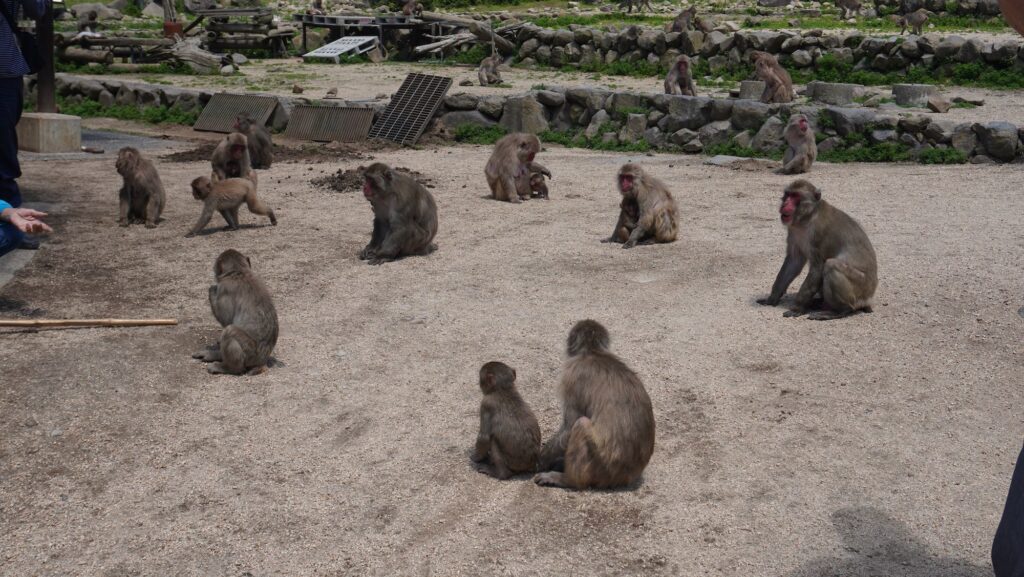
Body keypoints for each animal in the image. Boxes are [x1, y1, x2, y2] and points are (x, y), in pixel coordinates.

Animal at [536, 319, 655, 491]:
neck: (593, 352)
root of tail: (626, 477)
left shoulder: (571, 376)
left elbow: (569, 425)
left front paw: (541, 460)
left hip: (601, 467)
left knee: (580, 424)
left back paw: (568, 480)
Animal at [757, 180, 876, 319]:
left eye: (795, 196)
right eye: (788, 195)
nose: (785, 204)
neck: (807, 218)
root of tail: (869, 298)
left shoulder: (820, 233)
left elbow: (817, 268)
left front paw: (797, 308)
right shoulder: (792, 229)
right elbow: (794, 262)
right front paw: (772, 298)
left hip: (860, 287)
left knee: (831, 265)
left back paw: (839, 311)